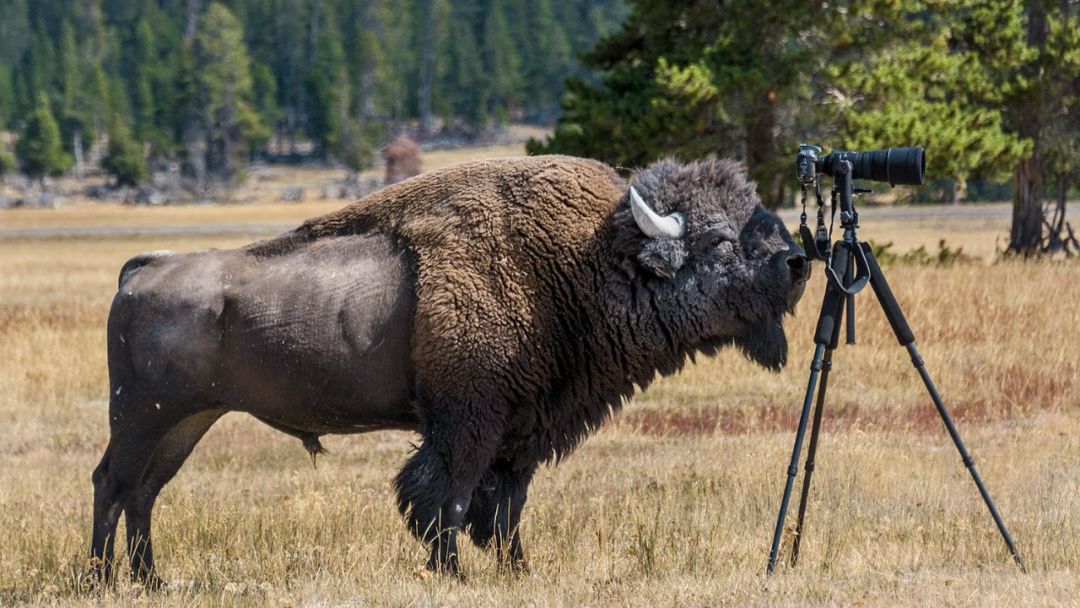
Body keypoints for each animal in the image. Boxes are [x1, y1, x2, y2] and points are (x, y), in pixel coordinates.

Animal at [90, 154, 803, 583]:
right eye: (718, 239)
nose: (797, 263)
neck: (581, 260)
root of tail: (142, 268)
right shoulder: (467, 421)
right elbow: (446, 498)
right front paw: (453, 573)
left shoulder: (521, 431)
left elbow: (506, 507)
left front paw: (517, 572)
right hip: (142, 418)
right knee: (113, 484)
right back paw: (101, 578)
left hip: (187, 421)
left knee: (144, 492)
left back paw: (150, 581)